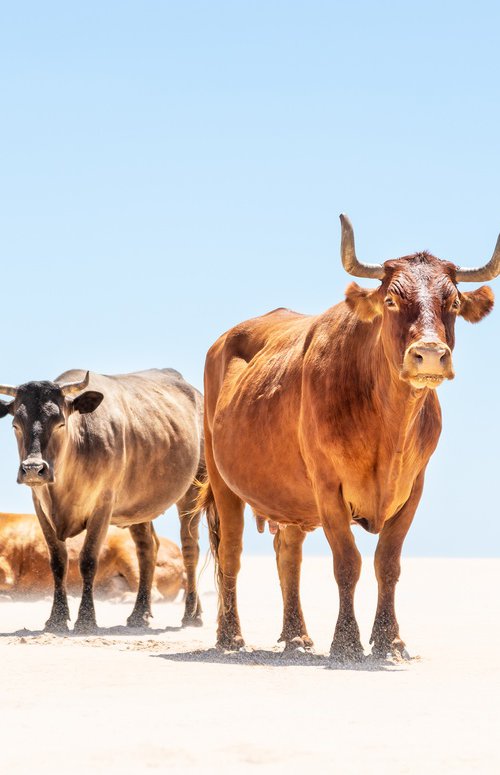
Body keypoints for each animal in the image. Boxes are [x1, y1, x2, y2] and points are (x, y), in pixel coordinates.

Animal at [198, 215, 499, 659]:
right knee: (231, 554)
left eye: (455, 304)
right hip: (223, 482)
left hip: (289, 494)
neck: (389, 428)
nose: (429, 354)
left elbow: (387, 563)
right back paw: (231, 636)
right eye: (390, 300)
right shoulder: (328, 487)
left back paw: (296, 636)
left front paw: (389, 639)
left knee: (288, 555)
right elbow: (347, 563)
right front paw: (345, 641)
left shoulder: (413, 488)